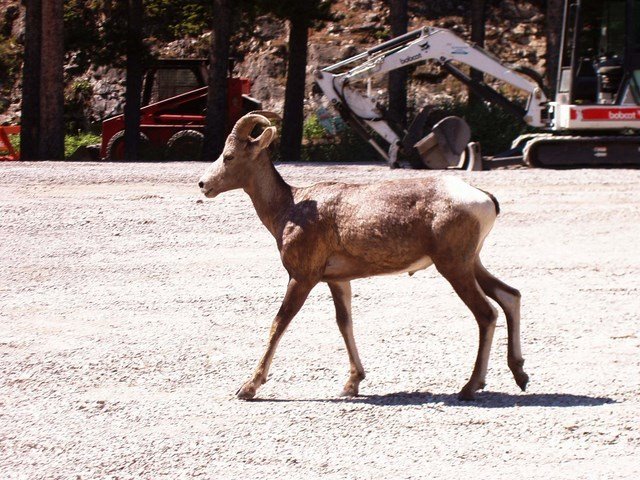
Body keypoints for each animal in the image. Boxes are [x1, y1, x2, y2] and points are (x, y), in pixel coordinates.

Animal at [198, 112, 528, 402]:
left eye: (229, 156)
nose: (203, 184)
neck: (289, 207)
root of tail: (484, 199)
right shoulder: (337, 281)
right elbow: (344, 323)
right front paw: (352, 383)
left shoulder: (302, 278)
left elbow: (279, 323)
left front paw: (248, 388)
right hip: (471, 263)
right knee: (510, 295)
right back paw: (520, 375)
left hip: (454, 266)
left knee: (487, 314)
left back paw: (470, 387)